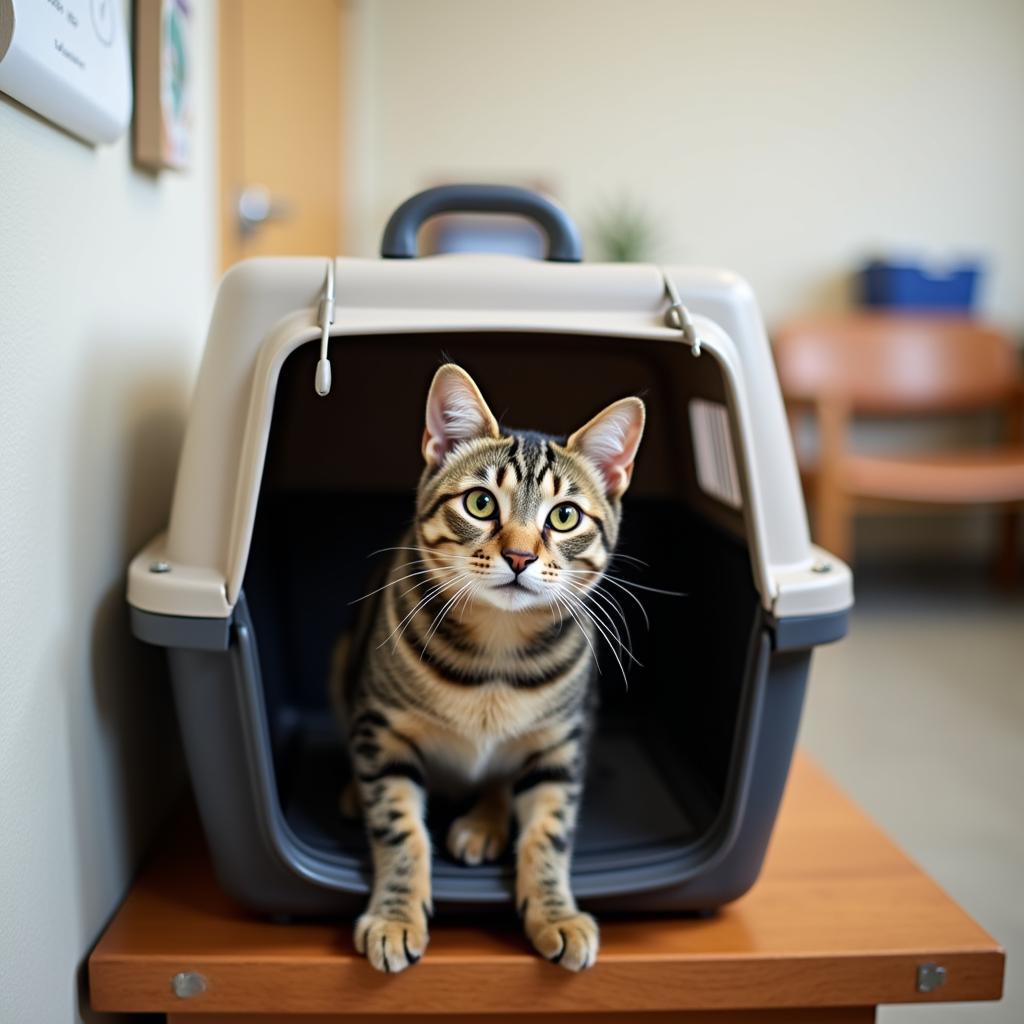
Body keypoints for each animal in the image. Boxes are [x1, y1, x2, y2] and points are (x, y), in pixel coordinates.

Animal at [331, 364, 643, 970]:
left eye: (564, 516)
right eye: (480, 504)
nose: (520, 556)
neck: (498, 647)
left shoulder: (560, 746)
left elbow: (549, 834)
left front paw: (556, 913)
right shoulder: (382, 729)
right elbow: (400, 828)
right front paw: (395, 914)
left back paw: (486, 819)